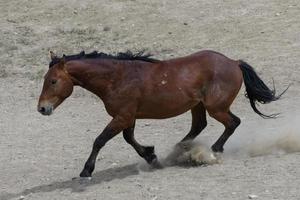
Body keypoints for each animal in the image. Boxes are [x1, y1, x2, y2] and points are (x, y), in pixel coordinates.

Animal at [37, 49, 286, 177]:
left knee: (233, 123)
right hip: (198, 106)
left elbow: (100, 140)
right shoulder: (128, 117)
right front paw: (152, 157)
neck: (116, 78)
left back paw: (212, 151)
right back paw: (181, 150)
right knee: (200, 125)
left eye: (53, 81)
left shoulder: (122, 117)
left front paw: (86, 171)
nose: (42, 108)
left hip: (216, 107)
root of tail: (233, 62)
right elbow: (129, 139)